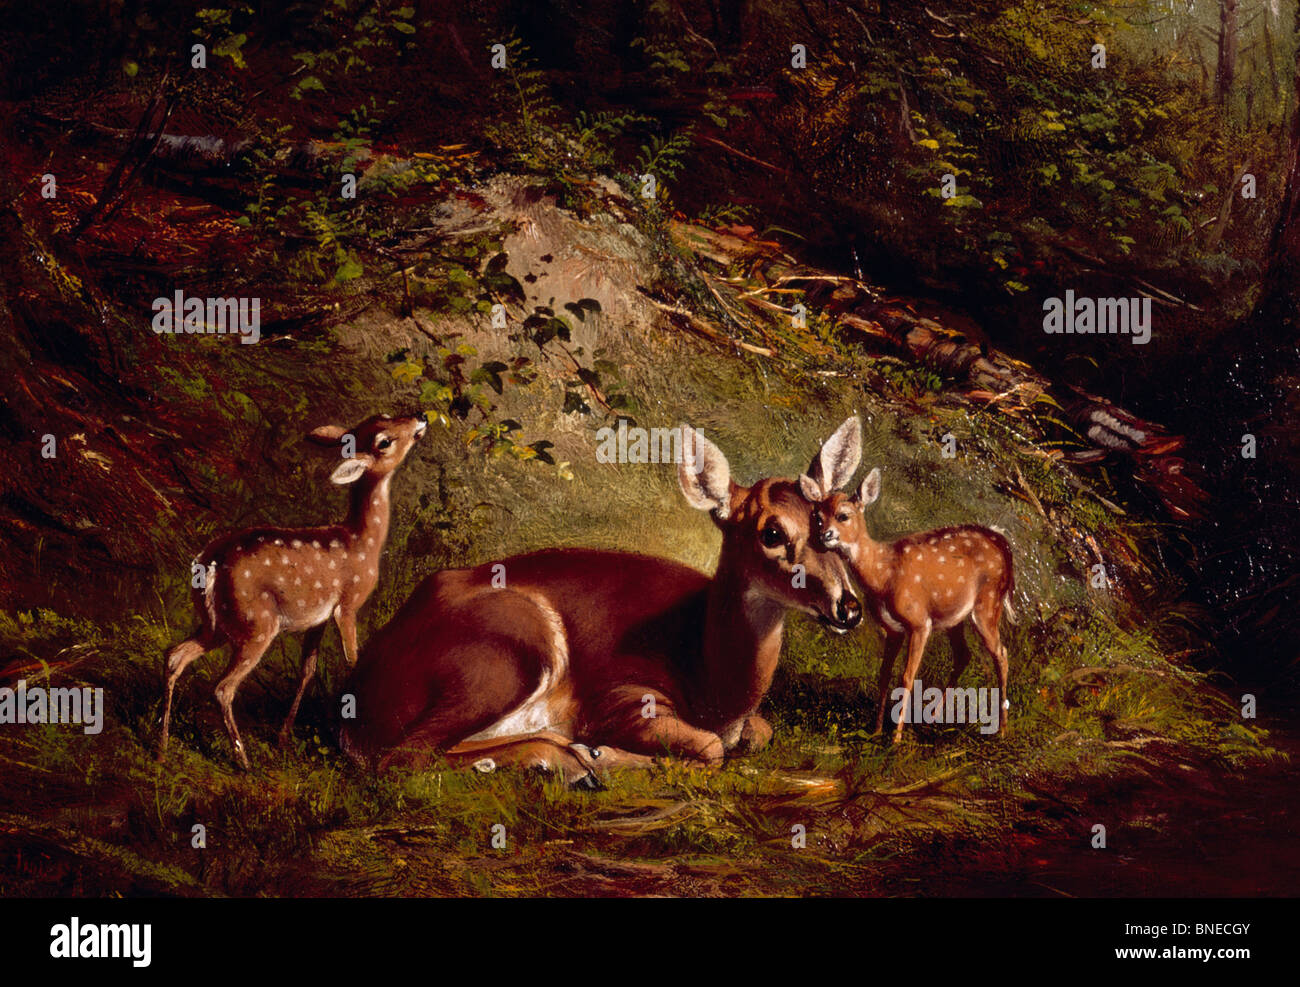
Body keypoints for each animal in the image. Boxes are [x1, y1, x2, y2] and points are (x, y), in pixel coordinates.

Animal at [158, 413, 426, 769]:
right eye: (384, 441)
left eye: (382, 415)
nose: (421, 417)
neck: (362, 542)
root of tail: (209, 565)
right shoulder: (348, 604)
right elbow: (353, 660)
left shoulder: (319, 618)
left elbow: (307, 671)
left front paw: (284, 737)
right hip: (257, 622)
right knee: (223, 688)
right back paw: (244, 761)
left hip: (216, 623)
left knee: (175, 655)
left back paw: (161, 748)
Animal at [340, 426, 857, 785]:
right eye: (772, 532)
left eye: (835, 522)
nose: (849, 608)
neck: (712, 679)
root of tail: (357, 700)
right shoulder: (622, 696)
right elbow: (711, 748)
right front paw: (605, 755)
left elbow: (760, 732)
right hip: (507, 654)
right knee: (400, 757)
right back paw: (574, 761)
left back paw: (561, 758)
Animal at [800, 416, 1013, 738]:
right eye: (817, 516)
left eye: (844, 516)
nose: (823, 536)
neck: (884, 573)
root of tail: (1003, 543)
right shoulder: (893, 628)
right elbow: (884, 673)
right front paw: (876, 730)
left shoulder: (919, 622)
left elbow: (907, 676)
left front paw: (895, 738)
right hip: (955, 614)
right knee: (964, 655)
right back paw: (933, 717)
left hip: (988, 603)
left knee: (1001, 653)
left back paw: (1000, 730)